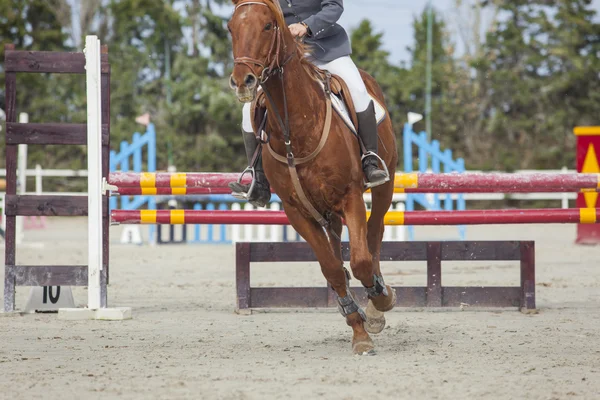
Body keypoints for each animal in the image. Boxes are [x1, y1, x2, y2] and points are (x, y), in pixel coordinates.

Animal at [230, 0, 398, 356]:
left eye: (268, 26)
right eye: (231, 28)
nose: (243, 82)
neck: (296, 126)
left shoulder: (350, 196)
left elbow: (361, 261)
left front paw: (378, 303)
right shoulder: (297, 211)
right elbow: (331, 267)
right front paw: (357, 328)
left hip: (384, 187)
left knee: (374, 234)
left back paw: (378, 303)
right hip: (324, 209)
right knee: (337, 248)